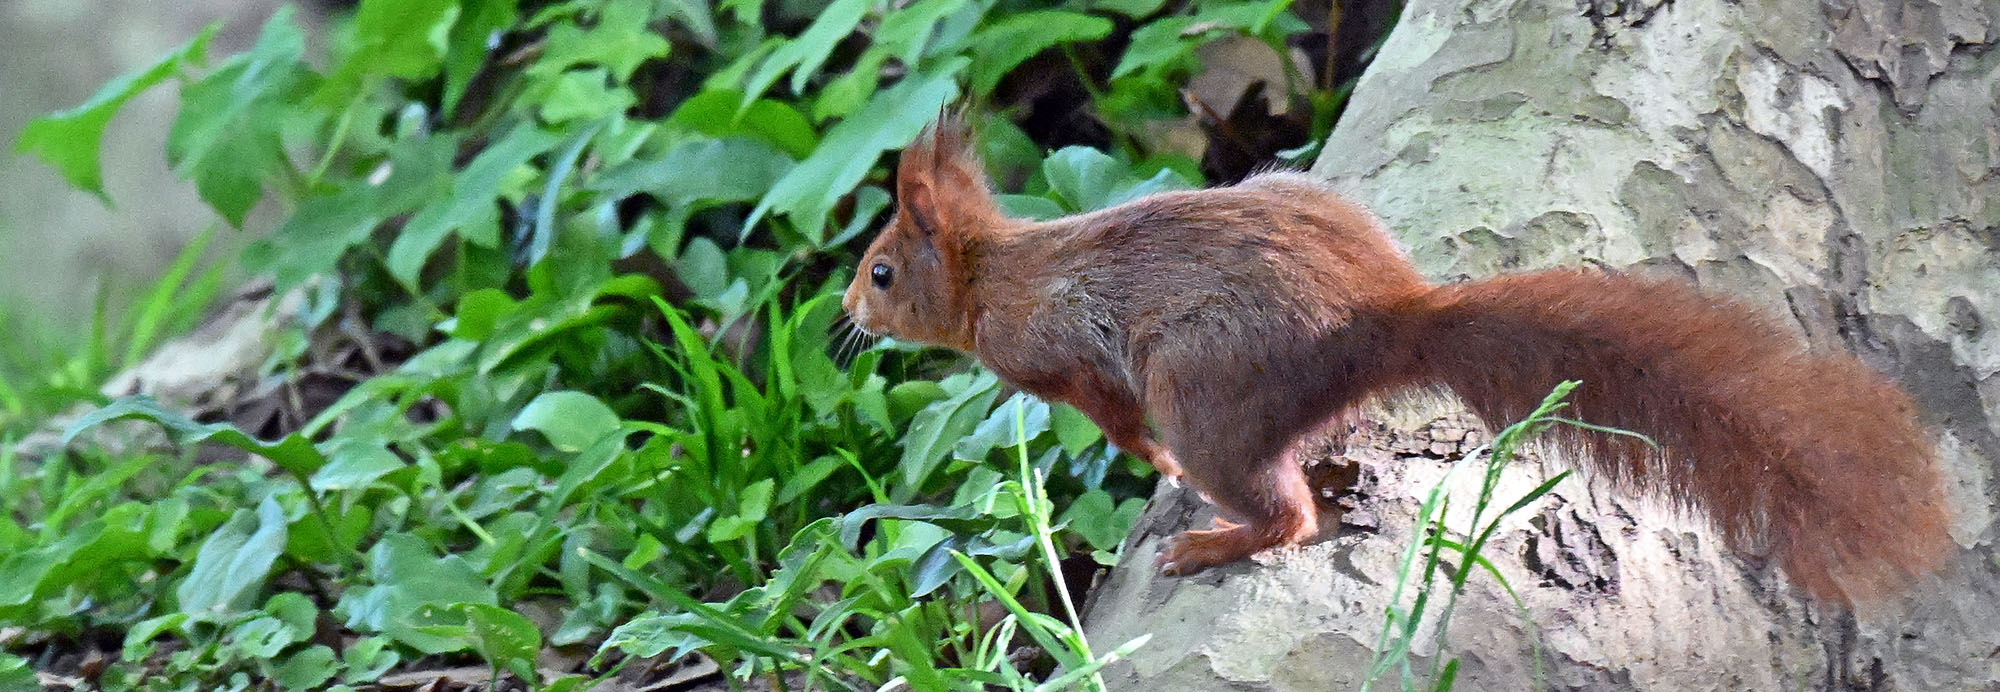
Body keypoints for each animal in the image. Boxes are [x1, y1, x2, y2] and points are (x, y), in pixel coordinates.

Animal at [841, 114, 1953, 606]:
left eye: (882, 269)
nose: (847, 312)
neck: (995, 273)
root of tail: (1383, 317)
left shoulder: (1053, 359)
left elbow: (1110, 416)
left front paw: (1148, 465)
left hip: (1204, 392)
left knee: (1283, 514)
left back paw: (1212, 538)